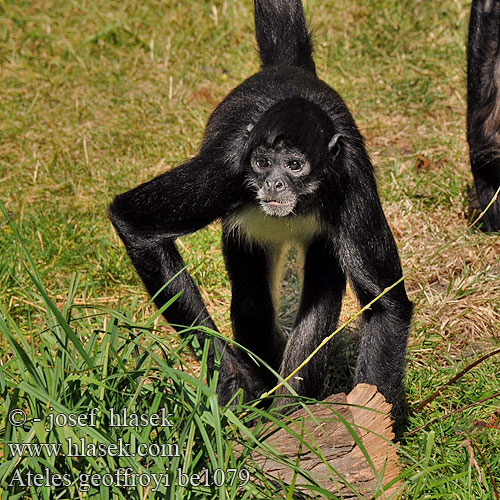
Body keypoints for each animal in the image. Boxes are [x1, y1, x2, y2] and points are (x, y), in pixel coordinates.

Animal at [109, 0, 414, 414]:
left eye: (295, 165)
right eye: (263, 163)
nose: (273, 183)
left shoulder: (351, 179)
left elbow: (387, 307)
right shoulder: (231, 167)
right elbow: (134, 223)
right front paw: (234, 380)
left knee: (318, 297)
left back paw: (291, 409)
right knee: (252, 301)